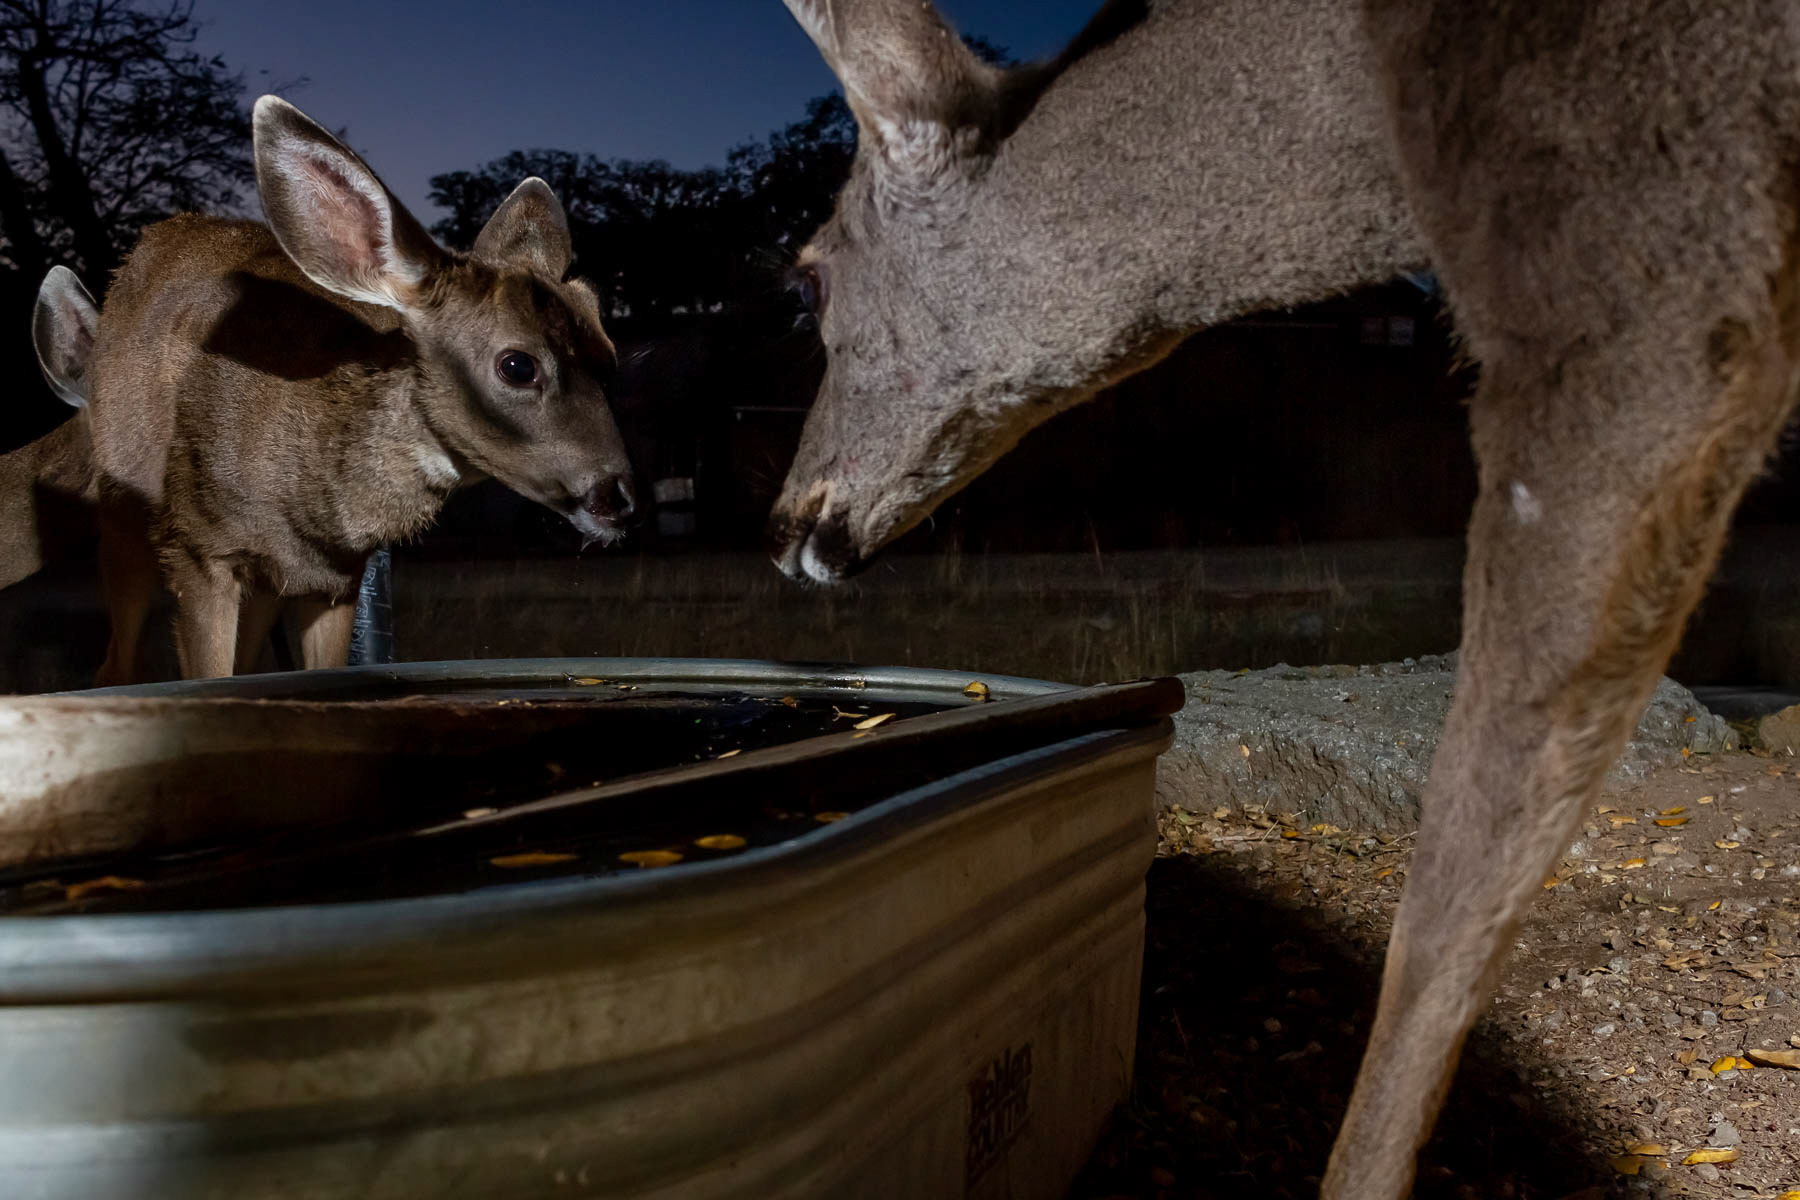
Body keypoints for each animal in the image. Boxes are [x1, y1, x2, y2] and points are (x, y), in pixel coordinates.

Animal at [79, 95, 634, 684]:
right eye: (518, 366)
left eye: (609, 354)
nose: (616, 495)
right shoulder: (198, 547)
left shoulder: (335, 578)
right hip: (122, 515)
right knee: (113, 664)